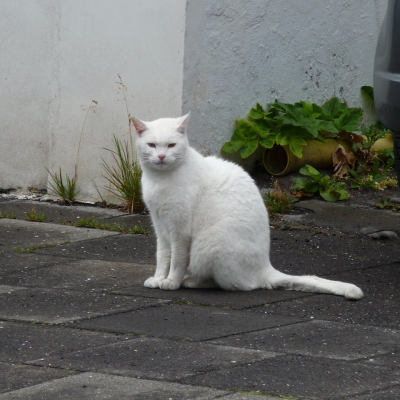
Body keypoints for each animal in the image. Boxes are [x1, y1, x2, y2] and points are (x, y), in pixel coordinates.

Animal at [131, 113, 363, 300]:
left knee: (235, 285)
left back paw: (191, 281)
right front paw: (158, 278)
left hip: (208, 246)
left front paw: (171, 281)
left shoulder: (179, 231)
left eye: (171, 145)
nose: (161, 156)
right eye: (152, 145)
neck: (159, 180)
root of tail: (265, 267)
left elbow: (177, 260)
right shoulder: (161, 227)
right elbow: (163, 256)